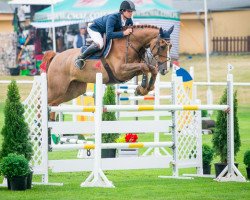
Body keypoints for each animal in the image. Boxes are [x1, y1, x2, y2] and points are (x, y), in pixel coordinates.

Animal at [42, 24, 173, 106]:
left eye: (170, 46)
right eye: (162, 46)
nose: (165, 70)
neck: (130, 45)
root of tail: (56, 56)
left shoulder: (132, 69)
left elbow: (150, 69)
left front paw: (144, 89)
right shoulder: (121, 71)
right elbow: (144, 67)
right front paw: (142, 88)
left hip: (74, 90)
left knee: (53, 104)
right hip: (57, 88)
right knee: (46, 102)